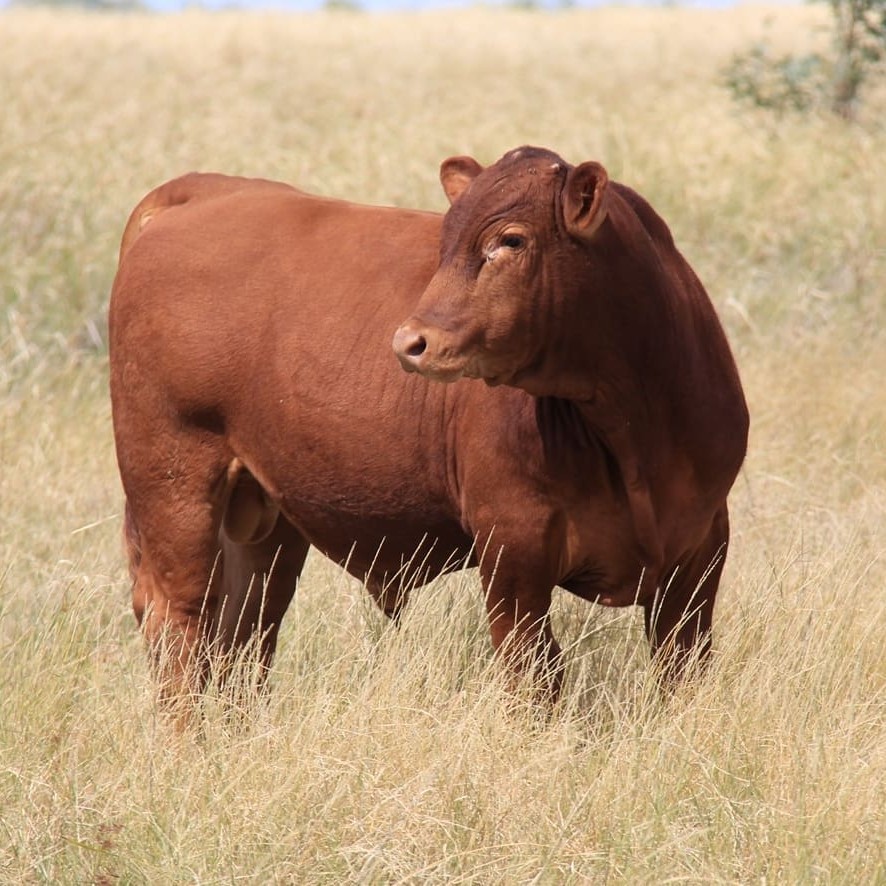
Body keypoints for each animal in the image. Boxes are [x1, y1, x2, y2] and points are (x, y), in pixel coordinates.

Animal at [109, 149, 748, 712]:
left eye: (511, 240)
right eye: (444, 244)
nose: (410, 341)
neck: (631, 434)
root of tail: (201, 190)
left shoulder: (701, 550)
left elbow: (682, 669)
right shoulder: (512, 547)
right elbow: (535, 679)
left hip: (264, 517)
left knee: (243, 633)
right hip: (173, 480)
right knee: (180, 621)